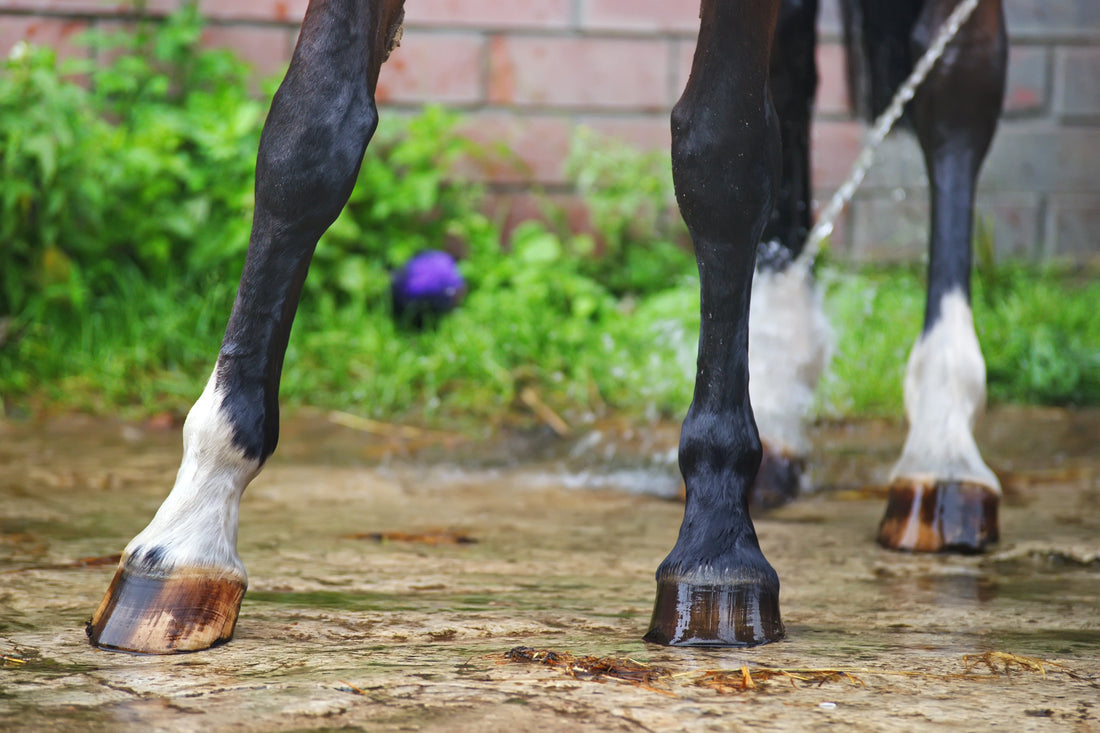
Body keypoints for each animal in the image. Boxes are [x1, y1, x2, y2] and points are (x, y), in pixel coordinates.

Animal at [86, 0, 1007, 653]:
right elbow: (308, 133)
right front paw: (189, 526)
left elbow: (721, 149)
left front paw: (715, 542)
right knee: (795, 79)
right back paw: (782, 412)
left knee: (959, 83)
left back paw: (942, 446)